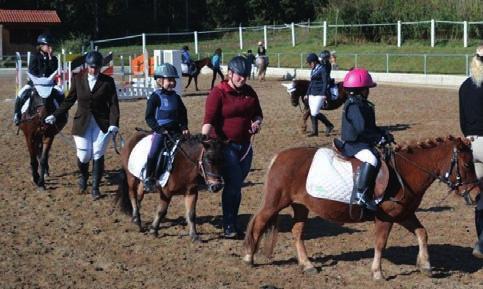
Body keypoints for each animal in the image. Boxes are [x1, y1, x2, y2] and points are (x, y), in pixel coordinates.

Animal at [244, 136, 478, 280]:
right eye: (467, 164)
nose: (477, 195)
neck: (405, 172)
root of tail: (280, 156)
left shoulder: (404, 214)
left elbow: (422, 233)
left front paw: (426, 265)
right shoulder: (386, 218)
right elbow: (380, 244)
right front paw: (377, 273)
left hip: (301, 206)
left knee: (297, 233)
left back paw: (307, 265)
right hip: (274, 203)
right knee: (258, 224)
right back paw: (248, 258)